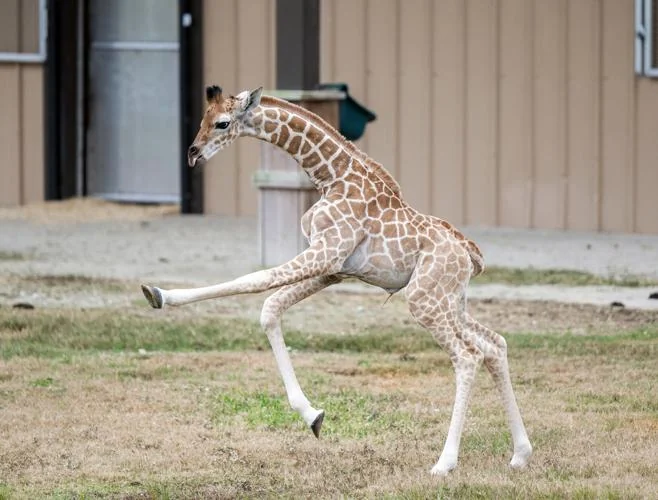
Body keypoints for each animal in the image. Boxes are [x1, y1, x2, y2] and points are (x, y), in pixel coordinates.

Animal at [141, 85, 532, 476]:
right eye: (203, 118)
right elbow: (270, 307)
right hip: (450, 300)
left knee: (467, 356)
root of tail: (472, 256)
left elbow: (254, 279)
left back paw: (445, 463)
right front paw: (312, 416)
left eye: (222, 123)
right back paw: (520, 453)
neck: (331, 175)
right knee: (494, 345)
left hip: (423, 300)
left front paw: (158, 293)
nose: (193, 153)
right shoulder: (334, 268)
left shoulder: (326, 251)